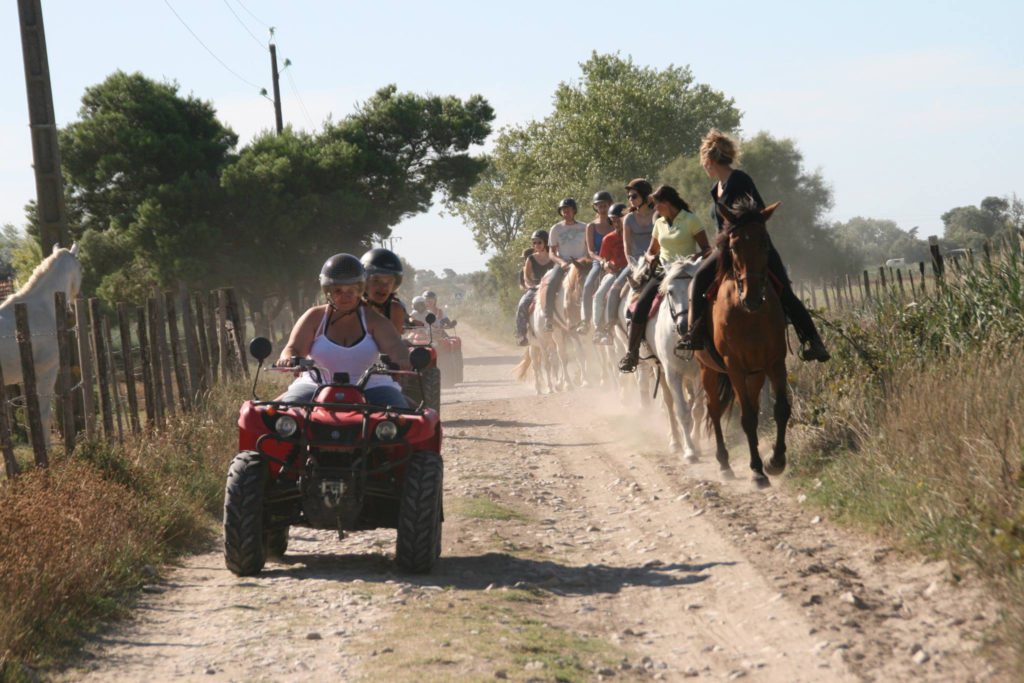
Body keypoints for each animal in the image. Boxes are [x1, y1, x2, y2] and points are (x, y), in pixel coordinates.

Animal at [696, 197, 790, 485]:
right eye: (734, 246)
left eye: (764, 243)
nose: (752, 297)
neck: (749, 315)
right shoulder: (734, 367)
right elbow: (747, 418)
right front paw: (757, 470)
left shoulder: (775, 362)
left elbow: (781, 409)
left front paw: (775, 461)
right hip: (708, 369)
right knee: (714, 409)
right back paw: (724, 463)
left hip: (755, 373)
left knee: (754, 404)